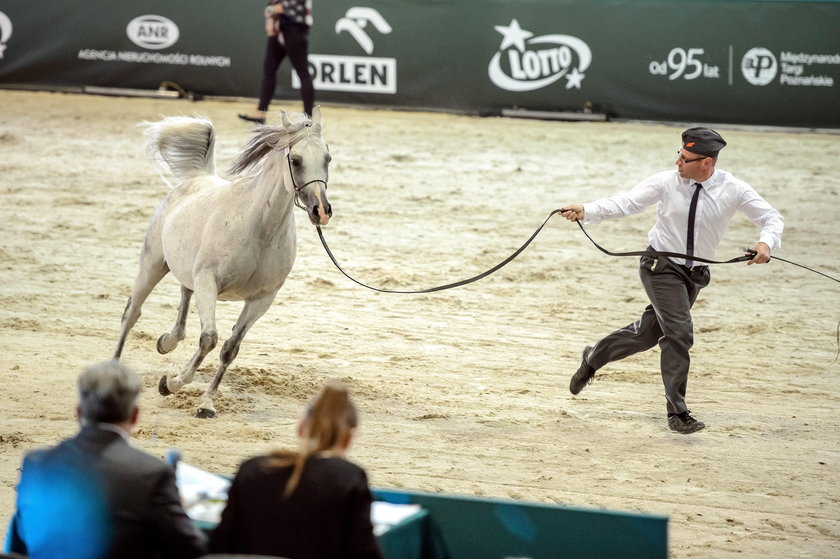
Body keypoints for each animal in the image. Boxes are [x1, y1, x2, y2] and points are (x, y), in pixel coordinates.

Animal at [115, 108, 332, 420]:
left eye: (328, 158)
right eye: (296, 160)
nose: (321, 211)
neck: (258, 227)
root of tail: (198, 178)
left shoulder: (262, 299)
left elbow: (230, 348)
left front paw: (206, 404)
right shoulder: (209, 282)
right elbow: (209, 339)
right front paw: (172, 383)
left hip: (186, 271)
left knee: (183, 301)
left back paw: (167, 341)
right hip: (152, 264)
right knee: (131, 314)